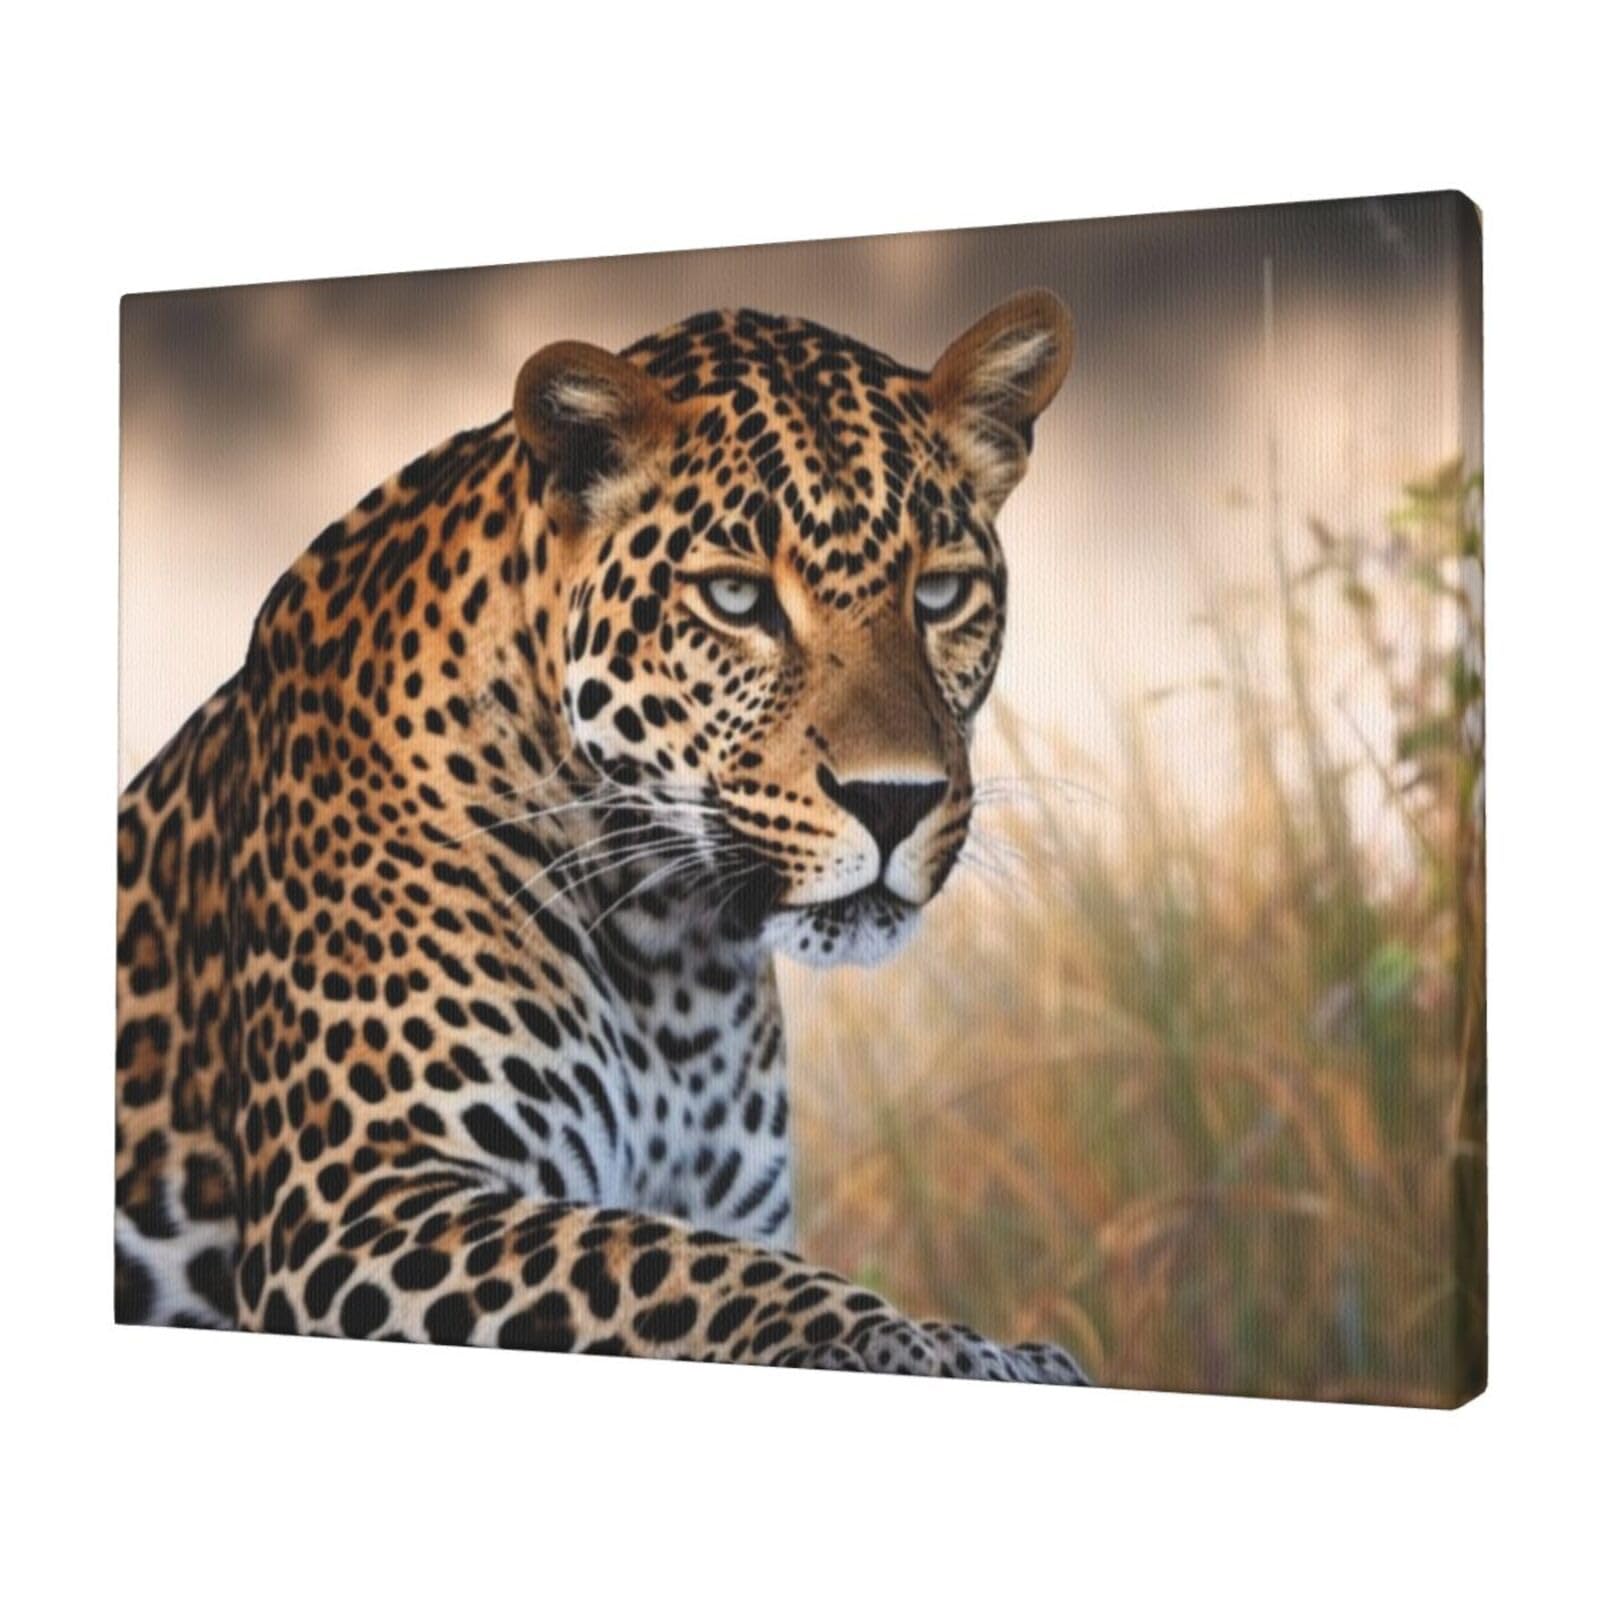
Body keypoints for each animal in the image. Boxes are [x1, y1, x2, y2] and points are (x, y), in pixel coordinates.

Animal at [115, 289, 1085, 1383]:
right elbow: (669, 1264)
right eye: (737, 597)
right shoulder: (353, 1207)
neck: (673, 949)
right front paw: (928, 1344)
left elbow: (688, 1250)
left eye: (939, 594)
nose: (893, 801)